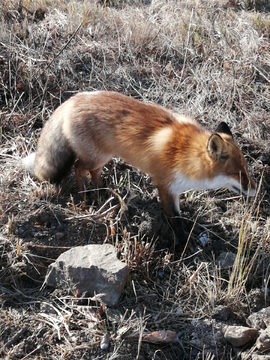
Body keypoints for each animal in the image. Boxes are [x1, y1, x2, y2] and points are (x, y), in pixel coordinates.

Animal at [22, 91, 255, 249]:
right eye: (239, 174)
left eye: (247, 170)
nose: (256, 190)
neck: (187, 155)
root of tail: (73, 99)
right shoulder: (166, 186)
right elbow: (175, 220)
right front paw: (185, 244)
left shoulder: (176, 189)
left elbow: (181, 218)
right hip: (95, 157)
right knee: (78, 168)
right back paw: (86, 196)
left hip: (103, 157)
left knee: (93, 173)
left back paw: (102, 193)